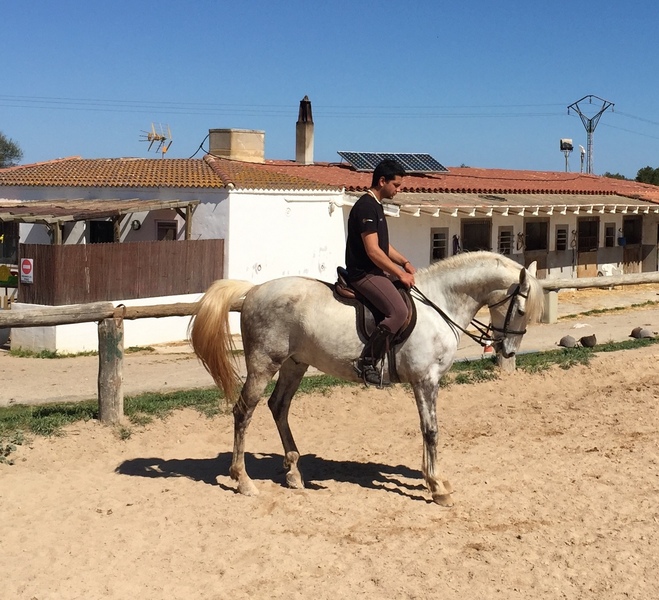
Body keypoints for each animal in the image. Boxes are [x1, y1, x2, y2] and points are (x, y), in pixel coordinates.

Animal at [190, 251, 543, 506]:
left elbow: (427, 430)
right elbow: (431, 431)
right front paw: (437, 487)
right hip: (264, 364)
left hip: (294, 364)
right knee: (244, 411)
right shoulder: (425, 380)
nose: (509, 351)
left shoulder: (426, 382)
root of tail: (254, 291)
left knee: (279, 407)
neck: (439, 305)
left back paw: (293, 472)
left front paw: (432, 478)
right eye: (521, 310)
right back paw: (243, 480)